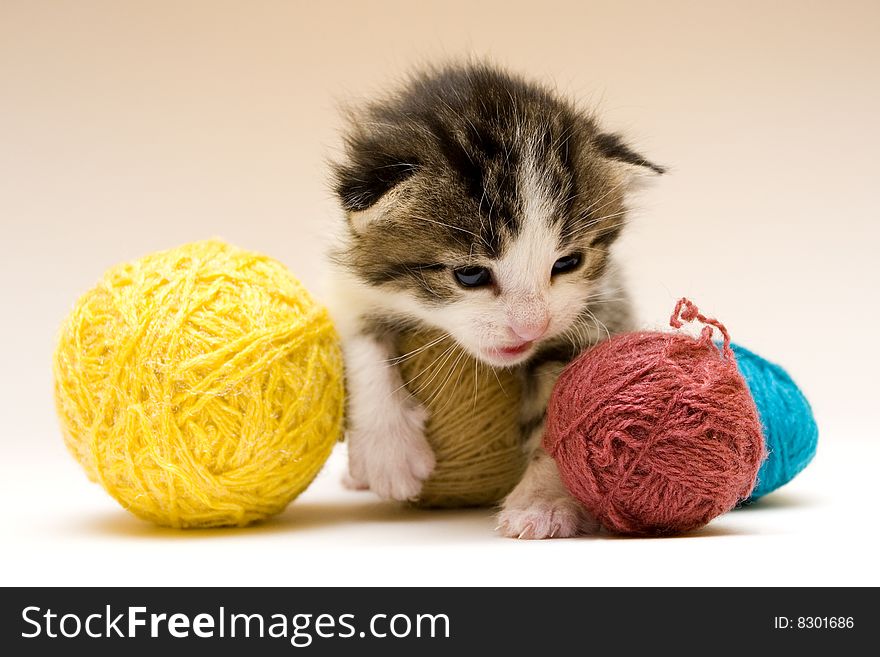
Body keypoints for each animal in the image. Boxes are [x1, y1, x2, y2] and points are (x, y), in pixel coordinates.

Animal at [328, 64, 660, 540]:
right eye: (470, 275)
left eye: (568, 262)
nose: (532, 326)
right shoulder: (347, 282)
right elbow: (361, 338)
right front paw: (387, 452)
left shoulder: (603, 304)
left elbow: (567, 409)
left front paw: (543, 503)